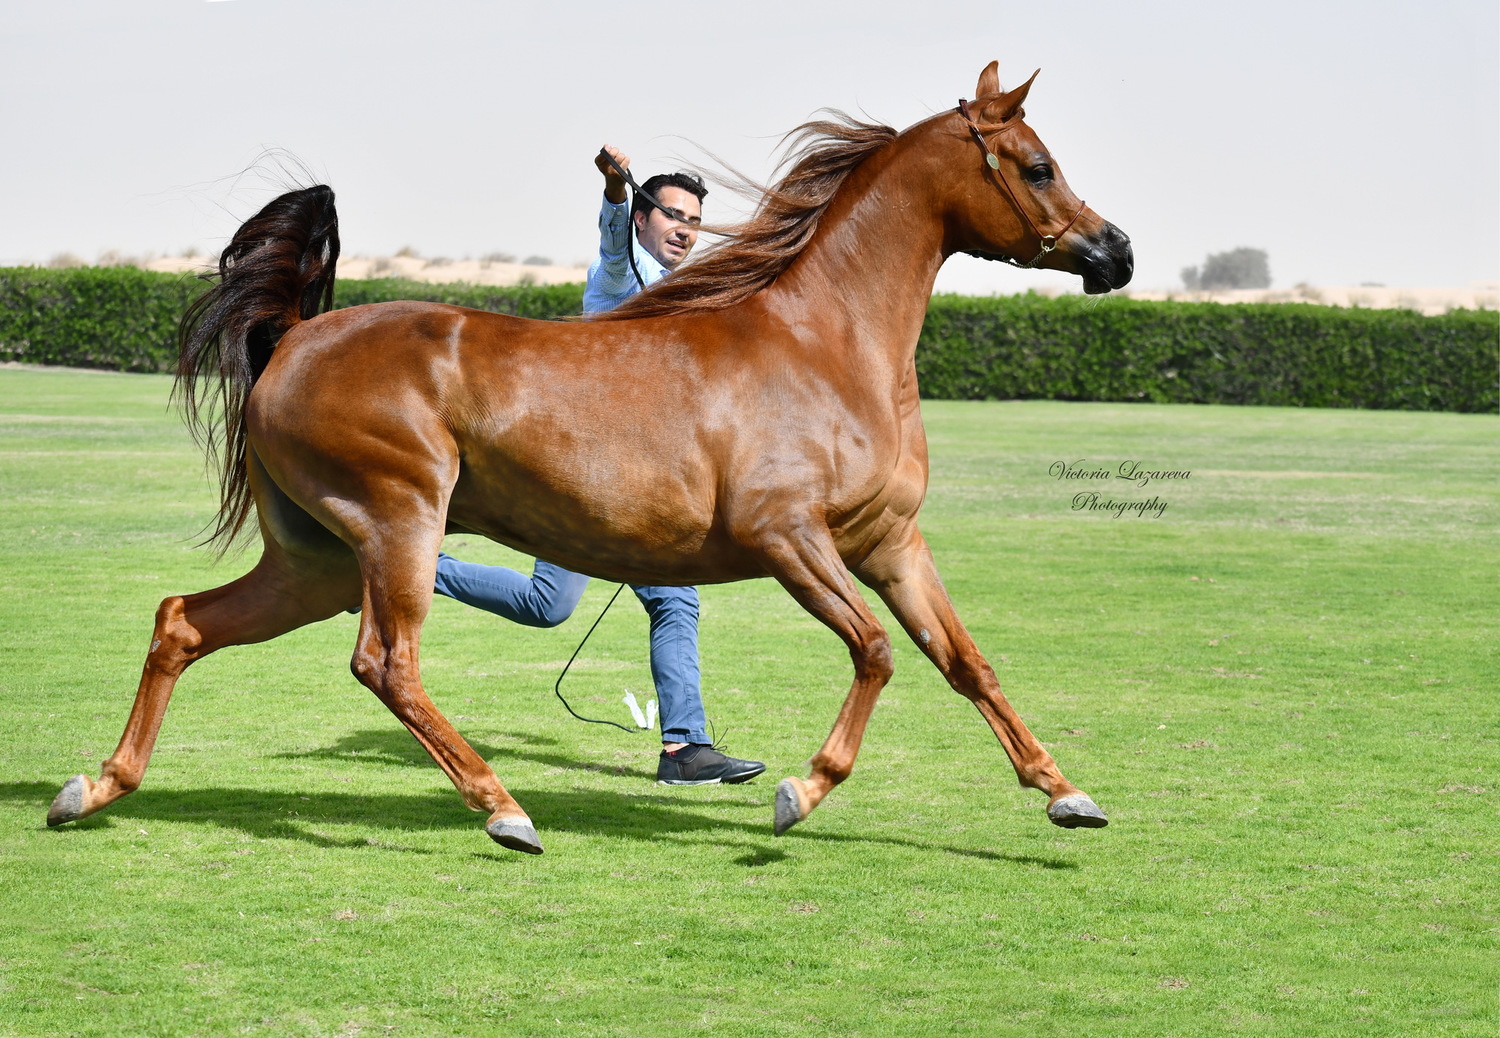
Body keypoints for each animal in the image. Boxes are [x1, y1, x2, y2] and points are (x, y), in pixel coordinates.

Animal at [46, 63, 1128, 852]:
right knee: (384, 662)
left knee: (183, 621)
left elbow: (965, 662)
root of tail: (296, 339)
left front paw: (1065, 794)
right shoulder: (788, 538)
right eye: (1036, 165)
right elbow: (875, 651)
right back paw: (504, 810)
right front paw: (800, 792)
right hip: (393, 523)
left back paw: (93, 789)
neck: (825, 345)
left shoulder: (890, 543)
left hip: (313, 560)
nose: (1115, 251)